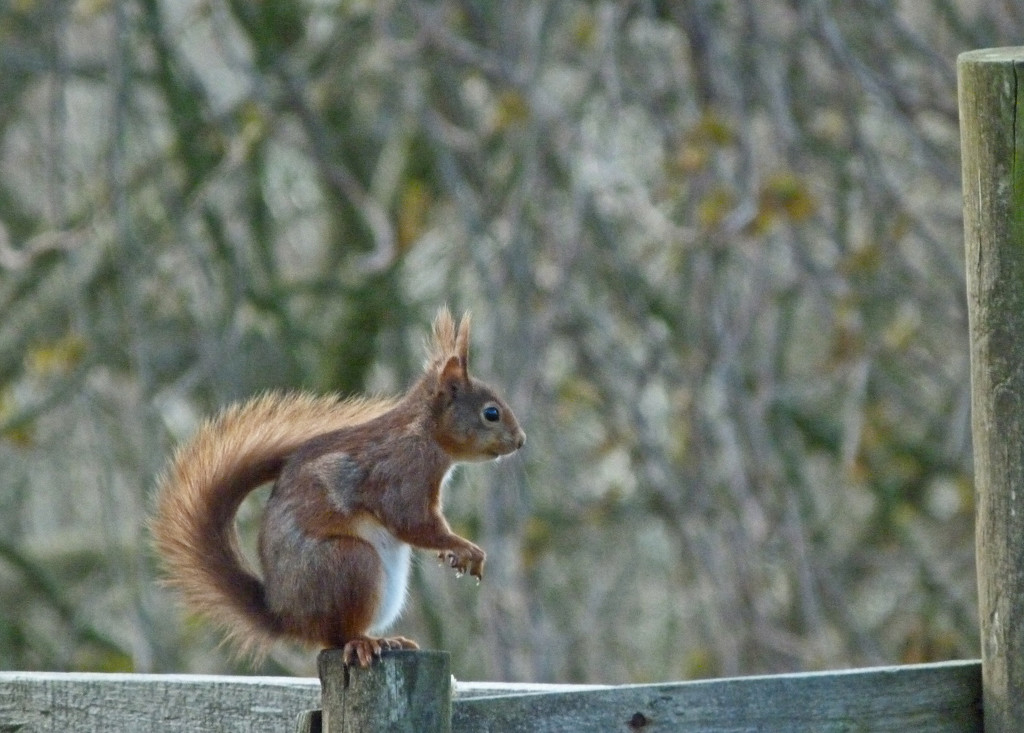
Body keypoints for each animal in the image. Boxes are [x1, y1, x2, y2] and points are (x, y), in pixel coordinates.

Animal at [148, 307, 524, 667]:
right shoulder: (400, 473)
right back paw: (364, 642)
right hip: (349, 564)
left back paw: (388, 640)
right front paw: (464, 548)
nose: (520, 442)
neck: (423, 432)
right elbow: (412, 521)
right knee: (336, 635)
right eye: (491, 413)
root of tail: (288, 619)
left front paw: (454, 554)